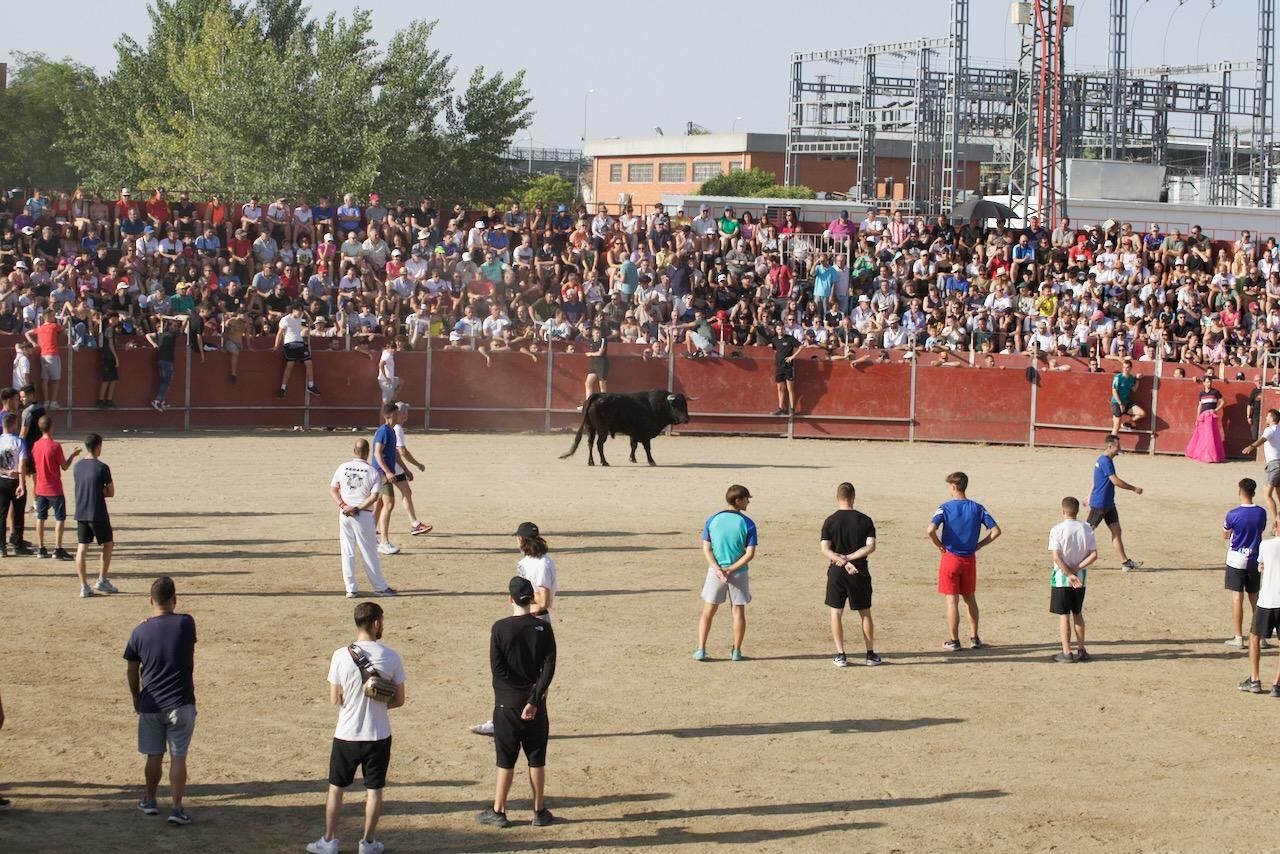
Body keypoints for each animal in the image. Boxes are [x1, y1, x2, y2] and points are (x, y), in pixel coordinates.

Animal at [558, 389, 691, 463]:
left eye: (685, 404)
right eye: (676, 405)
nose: (687, 419)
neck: (658, 405)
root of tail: (597, 395)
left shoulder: (634, 433)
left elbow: (633, 445)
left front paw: (632, 459)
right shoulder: (644, 433)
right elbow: (647, 448)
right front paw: (651, 461)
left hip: (590, 428)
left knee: (590, 443)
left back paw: (591, 462)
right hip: (602, 430)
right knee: (599, 444)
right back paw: (604, 462)